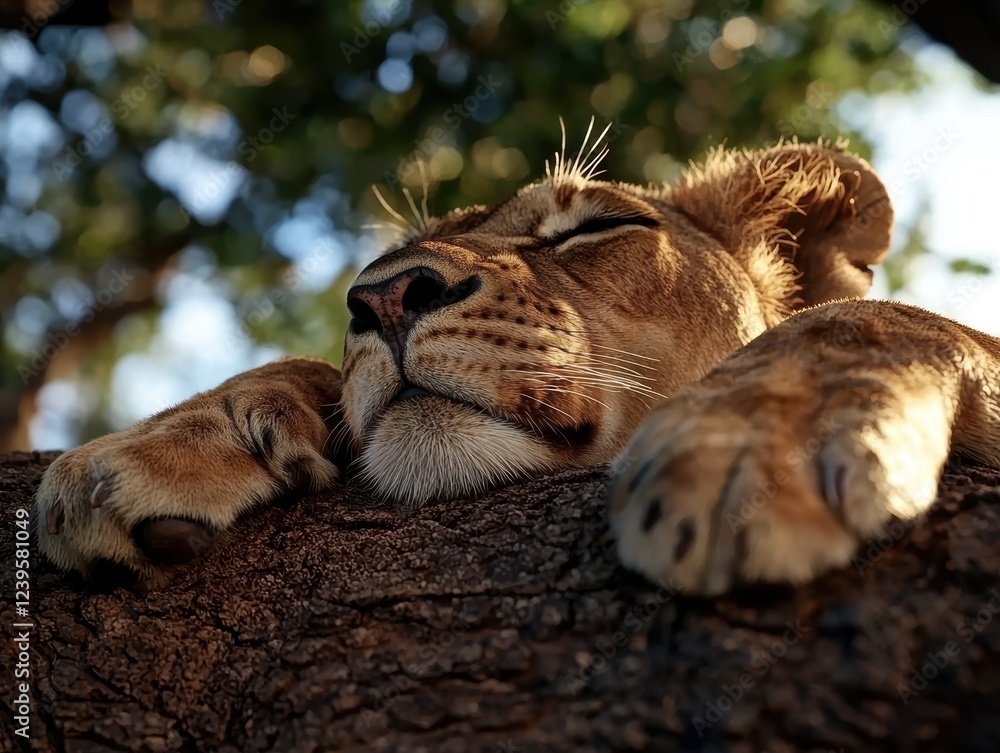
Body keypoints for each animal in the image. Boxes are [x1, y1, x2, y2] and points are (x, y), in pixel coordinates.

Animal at [34, 135, 1000, 595]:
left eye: (595, 226)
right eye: (383, 267)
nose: (383, 297)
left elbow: (862, 314)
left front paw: (750, 458)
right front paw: (166, 442)